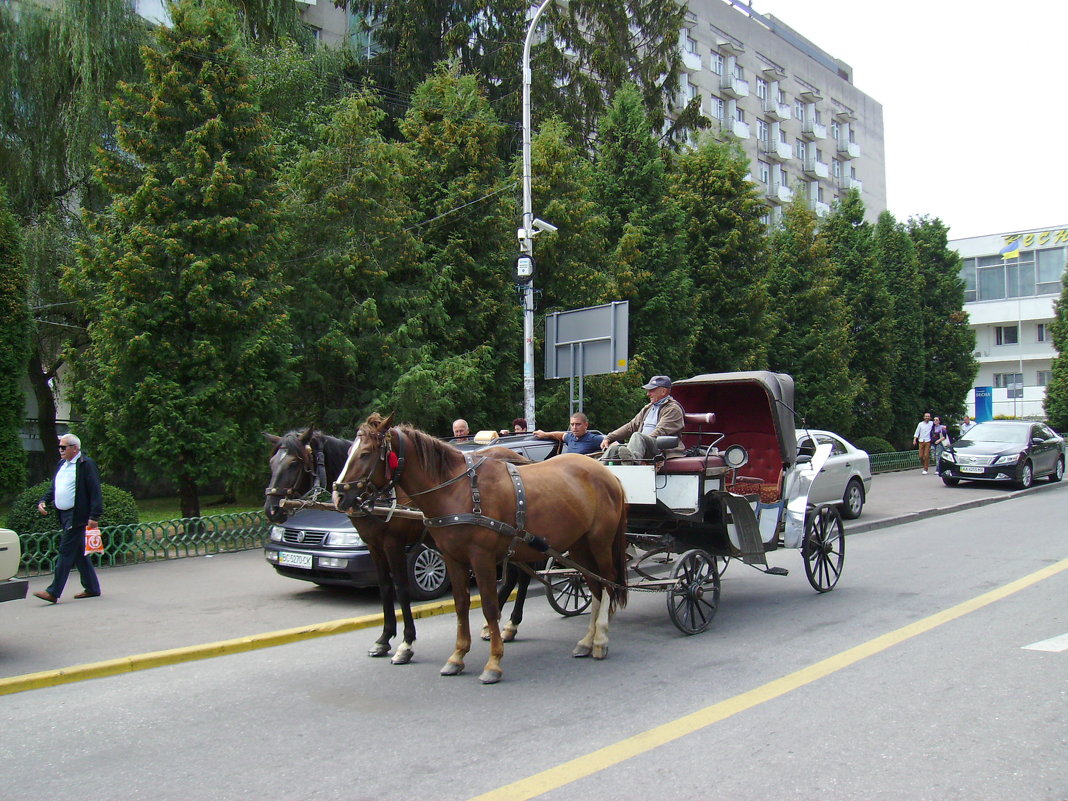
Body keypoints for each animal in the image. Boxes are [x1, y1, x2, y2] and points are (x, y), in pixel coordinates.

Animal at [333, 414, 627, 683]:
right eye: (347, 452)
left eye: (365, 454)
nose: (338, 495)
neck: (458, 490)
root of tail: (607, 474)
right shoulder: (452, 558)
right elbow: (461, 604)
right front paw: (457, 656)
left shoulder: (478, 557)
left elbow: (488, 605)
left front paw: (493, 662)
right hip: (578, 546)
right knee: (593, 585)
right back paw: (586, 640)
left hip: (599, 543)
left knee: (607, 582)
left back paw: (599, 639)